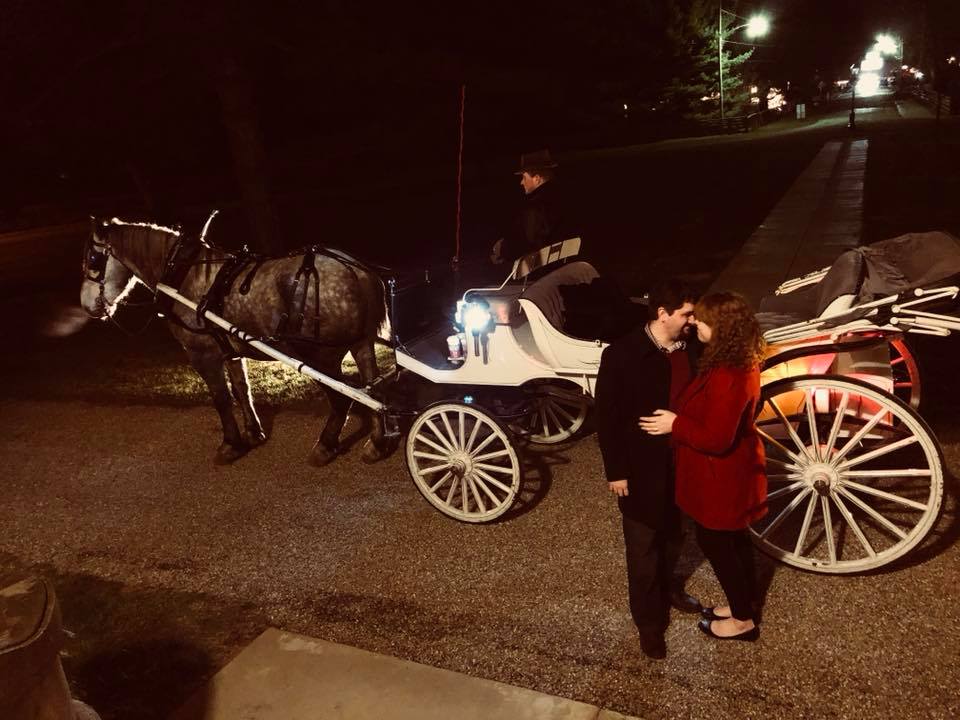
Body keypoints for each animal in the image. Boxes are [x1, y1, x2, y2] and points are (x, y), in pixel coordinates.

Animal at [79, 217, 394, 466]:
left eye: (92, 260)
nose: (85, 305)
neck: (184, 274)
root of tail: (357, 271)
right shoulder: (230, 351)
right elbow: (242, 390)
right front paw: (253, 433)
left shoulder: (202, 353)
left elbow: (221, 398)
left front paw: (230, 444)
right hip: (362, 344)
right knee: (375, 391)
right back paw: (378, 444)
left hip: (318, 357)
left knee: (344, 398)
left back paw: (326, 445)